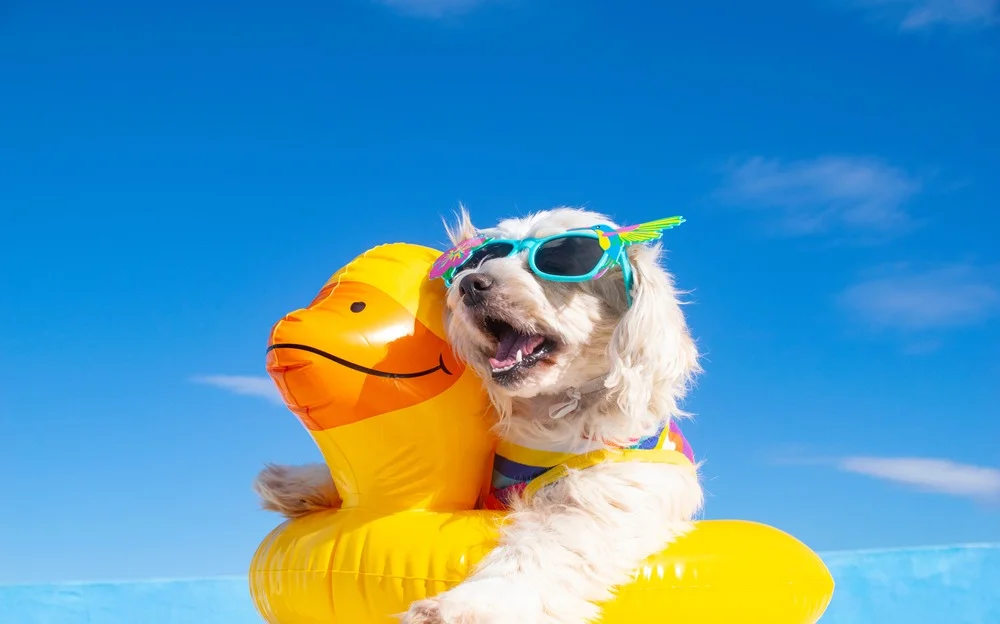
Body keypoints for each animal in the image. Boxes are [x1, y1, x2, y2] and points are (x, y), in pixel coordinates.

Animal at [256, 207, 704, 620]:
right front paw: (294, 481)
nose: (471, 283)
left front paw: (458, 607)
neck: (552, 411)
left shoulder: (608, 494)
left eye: (560, 260)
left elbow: (543, 548)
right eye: (484, 258)